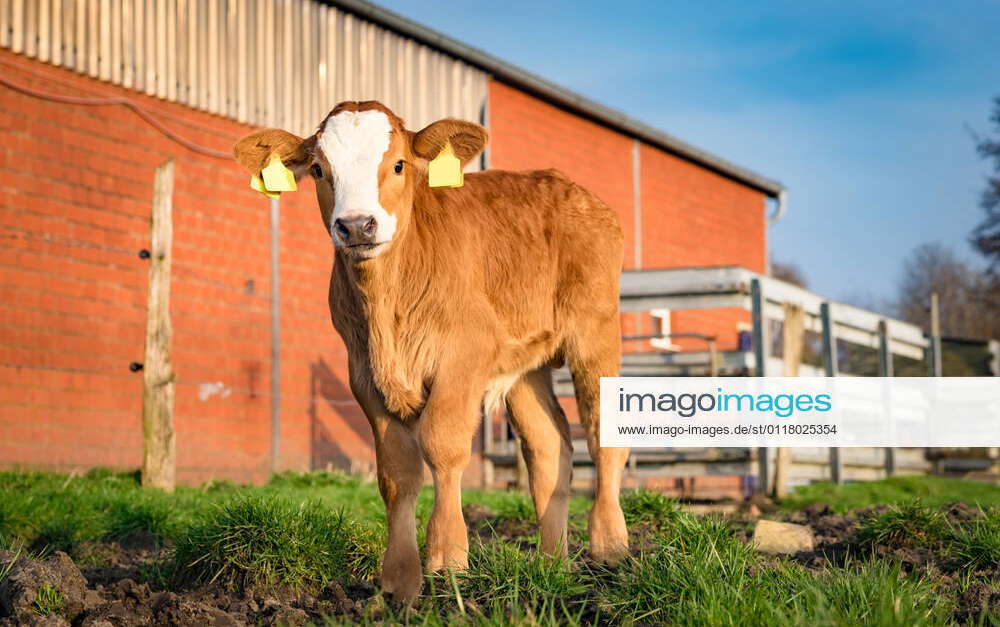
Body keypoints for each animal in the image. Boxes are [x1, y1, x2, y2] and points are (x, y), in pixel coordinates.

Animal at [231, 100, 628, 600]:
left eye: (399, 164)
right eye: (319, 169)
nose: (356, 225)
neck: (387, 306)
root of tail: (565, 185)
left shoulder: (465, 355)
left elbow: (442, 444)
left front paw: (448, 560)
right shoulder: (363, 374)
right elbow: (396, 472)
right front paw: (400, 581)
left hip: (596, 331)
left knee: (602, 435)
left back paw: (610, 547)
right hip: (525, 364)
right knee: (548, 446)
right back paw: (552, 565)